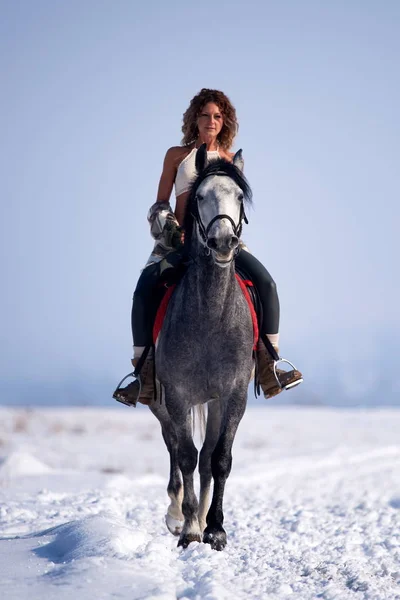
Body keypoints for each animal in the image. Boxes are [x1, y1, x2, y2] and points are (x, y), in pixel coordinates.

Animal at [150, 144, 253, 548]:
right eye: (200, 197)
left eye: (239, 196)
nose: (223, 241)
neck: (210, 318)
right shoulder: (177, 396)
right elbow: (186, 456)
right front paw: (190, 529)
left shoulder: (233, 395)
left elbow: (219, 458)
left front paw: (215, 528)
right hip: (162, 403)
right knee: (173, 448)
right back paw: (176, 515)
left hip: (211, 401)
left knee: (207, 455)